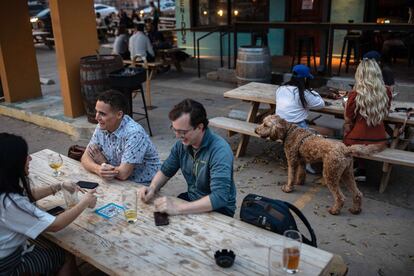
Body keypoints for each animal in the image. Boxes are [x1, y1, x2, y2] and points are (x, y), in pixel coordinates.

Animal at [256, 115, 384, 216]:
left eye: (265, 125)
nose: (256, 130)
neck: (289, 131)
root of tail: (346, 150)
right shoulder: (302, 161)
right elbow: (301, 173)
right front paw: (299, 182)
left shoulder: (292, 161)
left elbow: (291, 176)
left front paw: (288, 188)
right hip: (347, 173)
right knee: (357, 193)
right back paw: (355, 210)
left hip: (330, 173)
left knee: (340, 197)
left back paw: (334, 210)